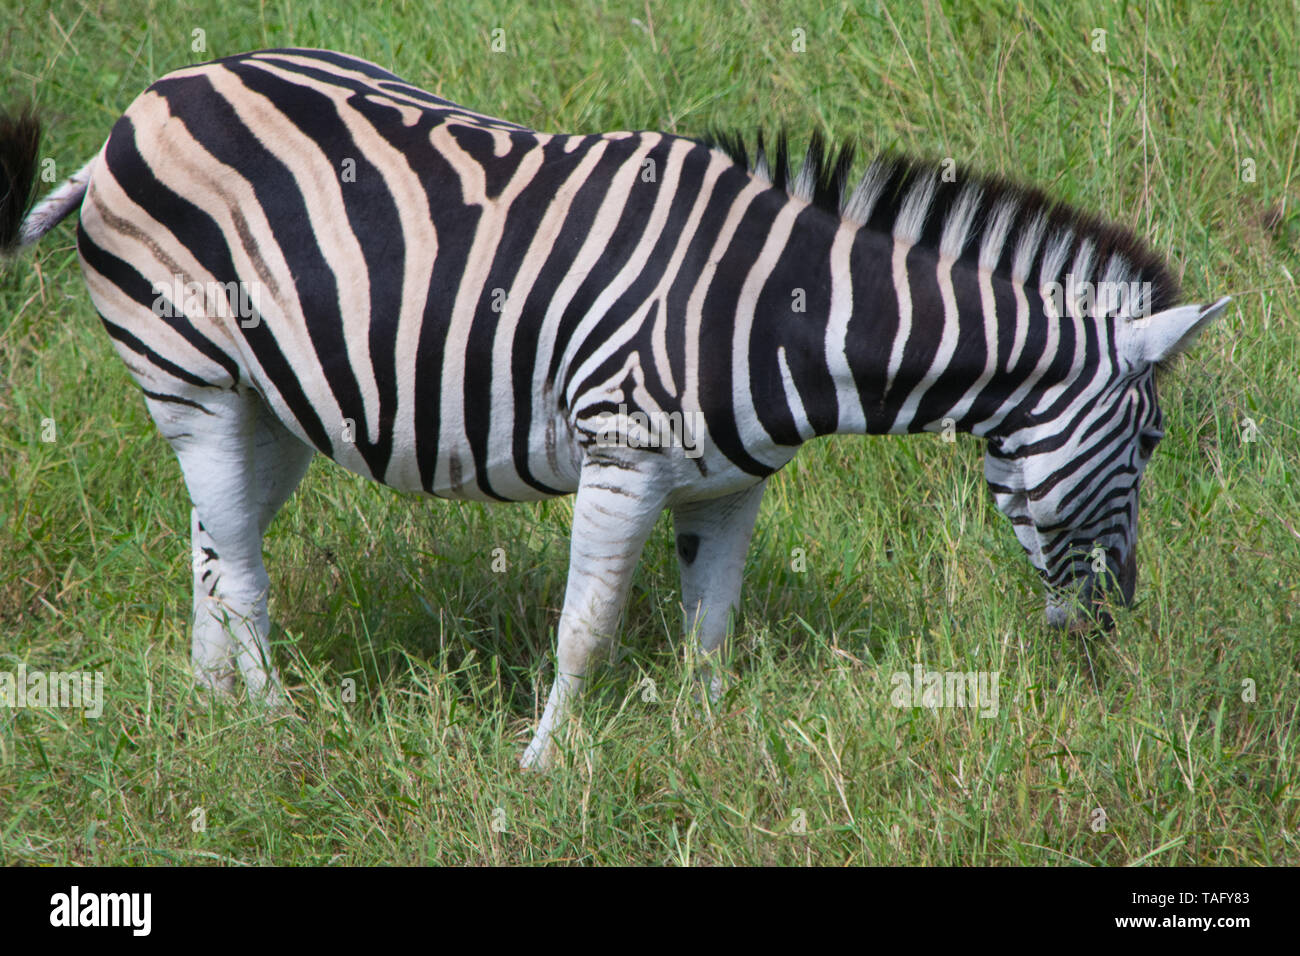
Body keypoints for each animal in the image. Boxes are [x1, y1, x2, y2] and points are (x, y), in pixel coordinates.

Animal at [0, 46, 1227, 770]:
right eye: (1152, 440)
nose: (1115, 624)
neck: (781, 315)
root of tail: (148, 99)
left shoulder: (730, 486)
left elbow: (711, 628)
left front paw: (709, 747)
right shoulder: (624, 453)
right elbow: (585, 629)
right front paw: (543, 773)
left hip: (278, 398)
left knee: (219, 541)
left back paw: (213, 707)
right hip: (189, 375)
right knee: (242, 570)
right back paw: (273, 730)